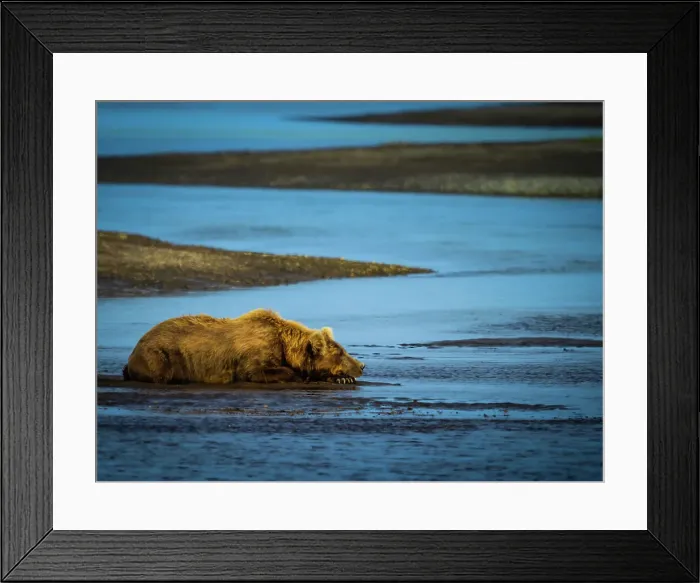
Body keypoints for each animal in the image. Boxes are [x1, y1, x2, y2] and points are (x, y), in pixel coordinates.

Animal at [122, 308, 365, 385]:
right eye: (340, 352)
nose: (361, 365)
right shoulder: (257, 352)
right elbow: (257, 371)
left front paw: (342, 378)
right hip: (159, 354)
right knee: (162, 372)